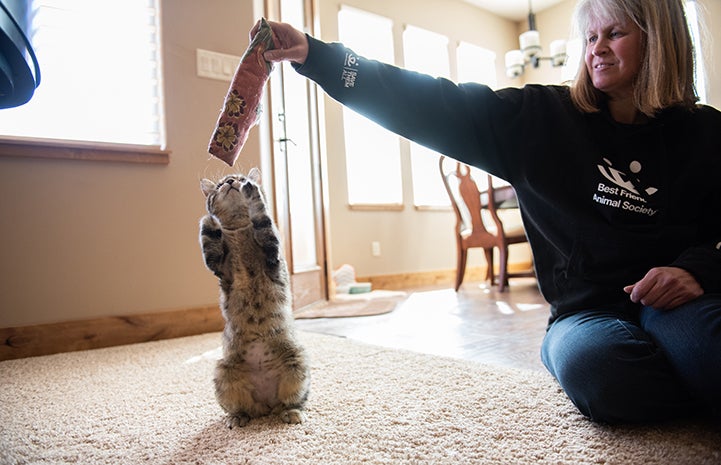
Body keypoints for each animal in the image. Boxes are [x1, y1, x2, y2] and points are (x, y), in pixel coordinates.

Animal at [200, 168, 310, 428]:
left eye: (240, 178)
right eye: (219, 185)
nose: (231, 181)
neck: (240, 233)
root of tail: (267, 404)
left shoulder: (272, 250)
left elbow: (262, 216)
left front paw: (253, 193)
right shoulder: (219, 267)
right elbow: (210, 245)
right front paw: (210, 222)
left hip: (296, 362)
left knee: (291, 401)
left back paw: (292, 413)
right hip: (224, 373)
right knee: (243, 409)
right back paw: (237, 418)